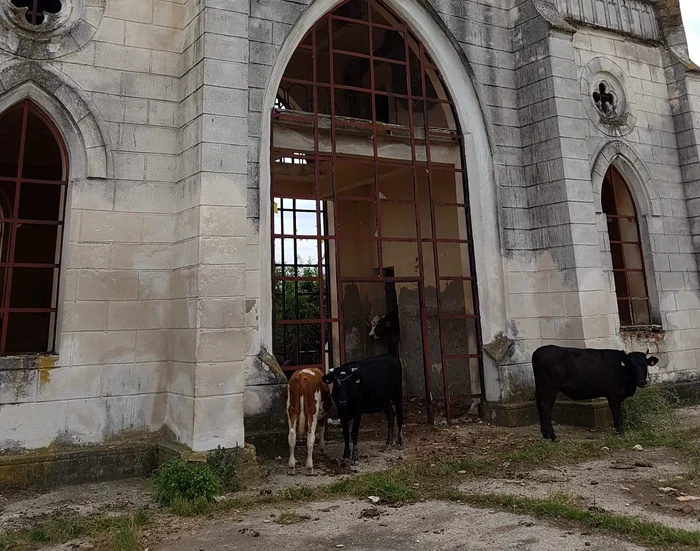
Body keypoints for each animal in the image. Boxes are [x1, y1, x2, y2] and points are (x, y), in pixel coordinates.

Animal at [532, 348, 660, 442]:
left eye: (645, 365)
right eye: (631, 366)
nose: (641, 381)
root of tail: (539, 351)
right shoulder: (613, 395)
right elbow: (617, 413)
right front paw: (621, 432)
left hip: (540, 386)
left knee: (539, 404)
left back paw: (545, 434)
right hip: (551, 387)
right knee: (546, 406)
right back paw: (552, 436)